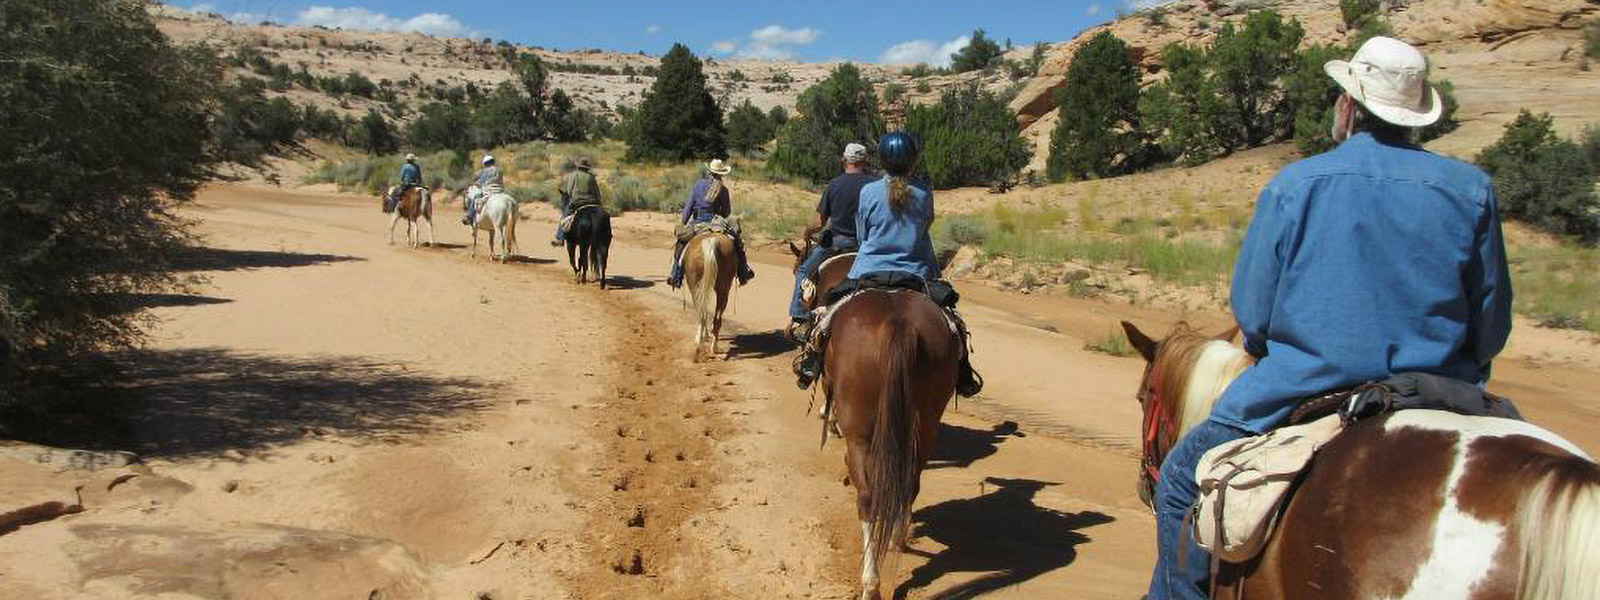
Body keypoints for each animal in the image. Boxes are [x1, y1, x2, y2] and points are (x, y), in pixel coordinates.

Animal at [684, 230, 739, 361]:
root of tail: (711, 241)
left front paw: (702, 337)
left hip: (696, 286)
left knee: (702, 314)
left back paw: (704, 347)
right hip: (723, 288)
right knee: (716, 317)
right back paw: (712, 348)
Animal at [819, 289, 953, 598]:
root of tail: (899, 322)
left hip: (859, 430)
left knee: (867, 498)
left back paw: (871, 583)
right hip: (927, 423)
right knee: (909, 484)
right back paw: (896, 539)